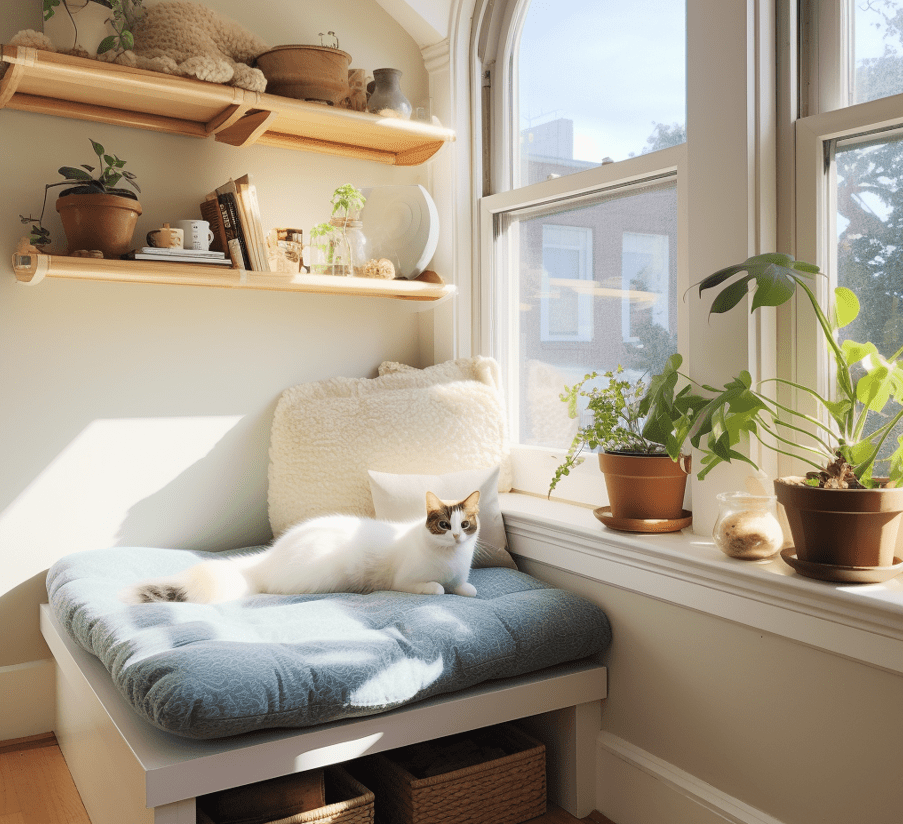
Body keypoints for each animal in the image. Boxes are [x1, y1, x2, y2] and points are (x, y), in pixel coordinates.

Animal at [123, 490, 484, 604]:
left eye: (464, 525)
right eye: (444, 525)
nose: (456, 537)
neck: (450, 558)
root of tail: (267, 559)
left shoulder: (460, 575)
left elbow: (466, 587)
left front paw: (466, 590)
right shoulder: (405, 581)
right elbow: (436, 587)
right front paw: (441, 588)